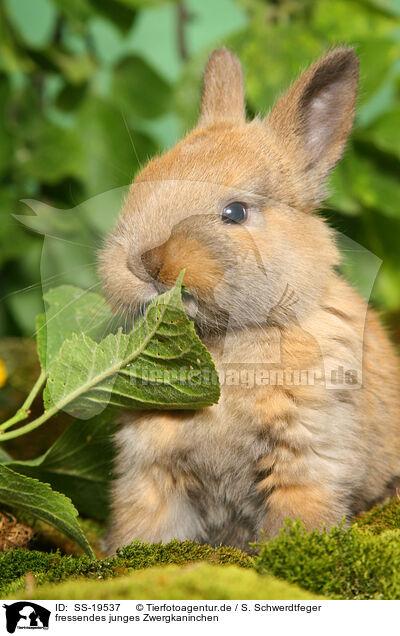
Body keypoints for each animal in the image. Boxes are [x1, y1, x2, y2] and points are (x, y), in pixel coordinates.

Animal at [99, 44, 400, 556]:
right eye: (142, 180)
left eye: (235, 212)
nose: (145, 263)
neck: (223, 344)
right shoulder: (150, 473)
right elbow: (146, 531)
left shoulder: (307, 463)